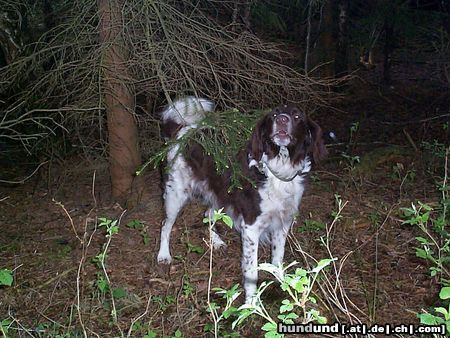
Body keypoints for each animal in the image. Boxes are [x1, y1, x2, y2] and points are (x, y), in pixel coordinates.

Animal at [156, 95, 326, 304]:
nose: (282, 120)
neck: (278, 169)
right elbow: (251, 271)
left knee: (207, 213)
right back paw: (164, 254)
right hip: (175, 195)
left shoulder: (282, 222)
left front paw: (284, 286)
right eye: (273, 115)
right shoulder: (251, 227)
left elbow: (278, 259)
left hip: (218, 194)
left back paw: (216, 242)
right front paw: (251, 303)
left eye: (297, 116)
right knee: (165, 224)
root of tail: (184, 130)